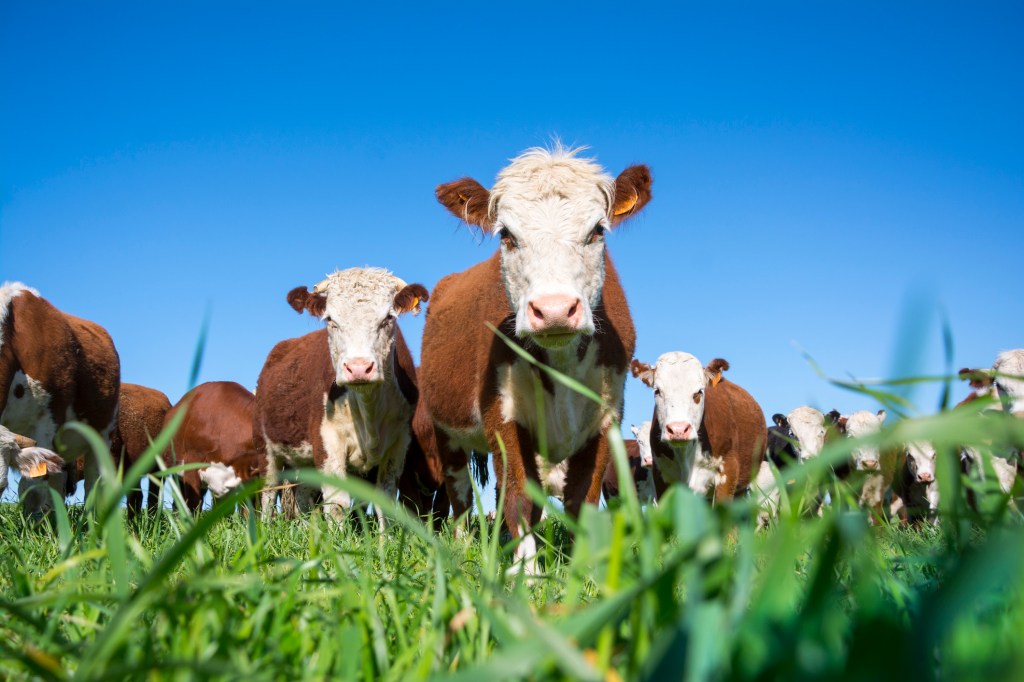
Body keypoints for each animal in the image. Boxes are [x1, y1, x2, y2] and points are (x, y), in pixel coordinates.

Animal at [254, 268, 427, 526]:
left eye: (388, 318)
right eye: (330, 320)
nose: (358, 367)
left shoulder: (399, 443)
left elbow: (384, 504)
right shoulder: (327, 440)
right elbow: (337, 504)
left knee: (302, 497)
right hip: (266, 449)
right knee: (267, 493)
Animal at [419, 146, 651, 573]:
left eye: (597, 231)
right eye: (507, 235)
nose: (555, 309)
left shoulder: (606, 416)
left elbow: (582, 499)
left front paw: (582, 573)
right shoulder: (501, 414)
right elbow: (520, 498)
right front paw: (526, 574)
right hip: (446, 429)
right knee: (459, 494)